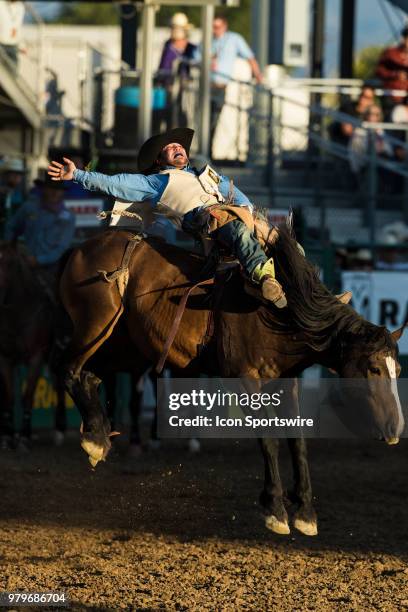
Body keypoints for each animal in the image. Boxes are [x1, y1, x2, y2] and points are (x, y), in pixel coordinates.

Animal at [57, 224, 404, 536]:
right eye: (374, 368)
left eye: (397, 371)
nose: (395, 429)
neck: (281, 313)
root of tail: (80, 248)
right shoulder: (245, 380)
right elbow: (269, 439)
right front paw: (275, 508)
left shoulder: (287, 382)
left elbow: (298, 441)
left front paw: (305, 512)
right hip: (96, 326)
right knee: (68, 369)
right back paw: (94, 438)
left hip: (125, 345)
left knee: (89, 377)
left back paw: (99, 436)